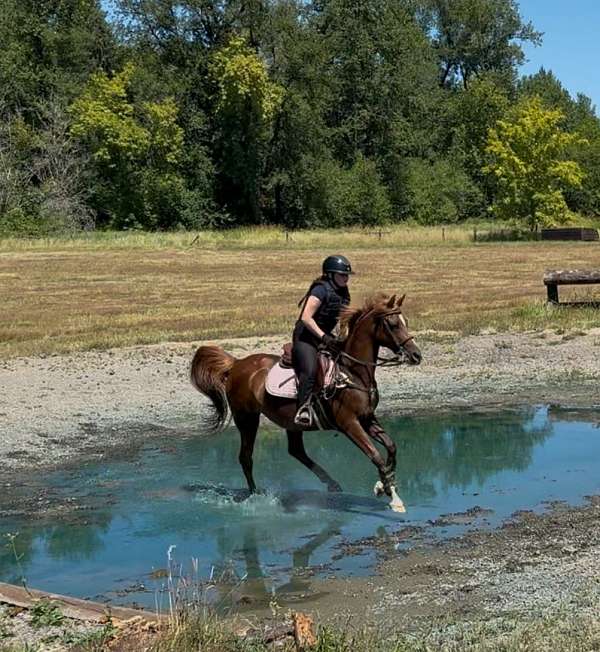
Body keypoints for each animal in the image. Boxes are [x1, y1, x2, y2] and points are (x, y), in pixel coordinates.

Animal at [190, 292, 422, 512]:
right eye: (393, 324)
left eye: (406, 321)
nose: (416, 355)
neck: (353, 373)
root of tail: (236, 363)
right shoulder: (349, 423)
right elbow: (375, 455)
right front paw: (393, 498)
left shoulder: (367, 418)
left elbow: (391, 447)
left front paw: (384, 485)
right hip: (247, 418)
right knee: (246, 457)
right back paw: (255, 496)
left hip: (289, 422)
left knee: (295, 451)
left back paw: (332, 484)